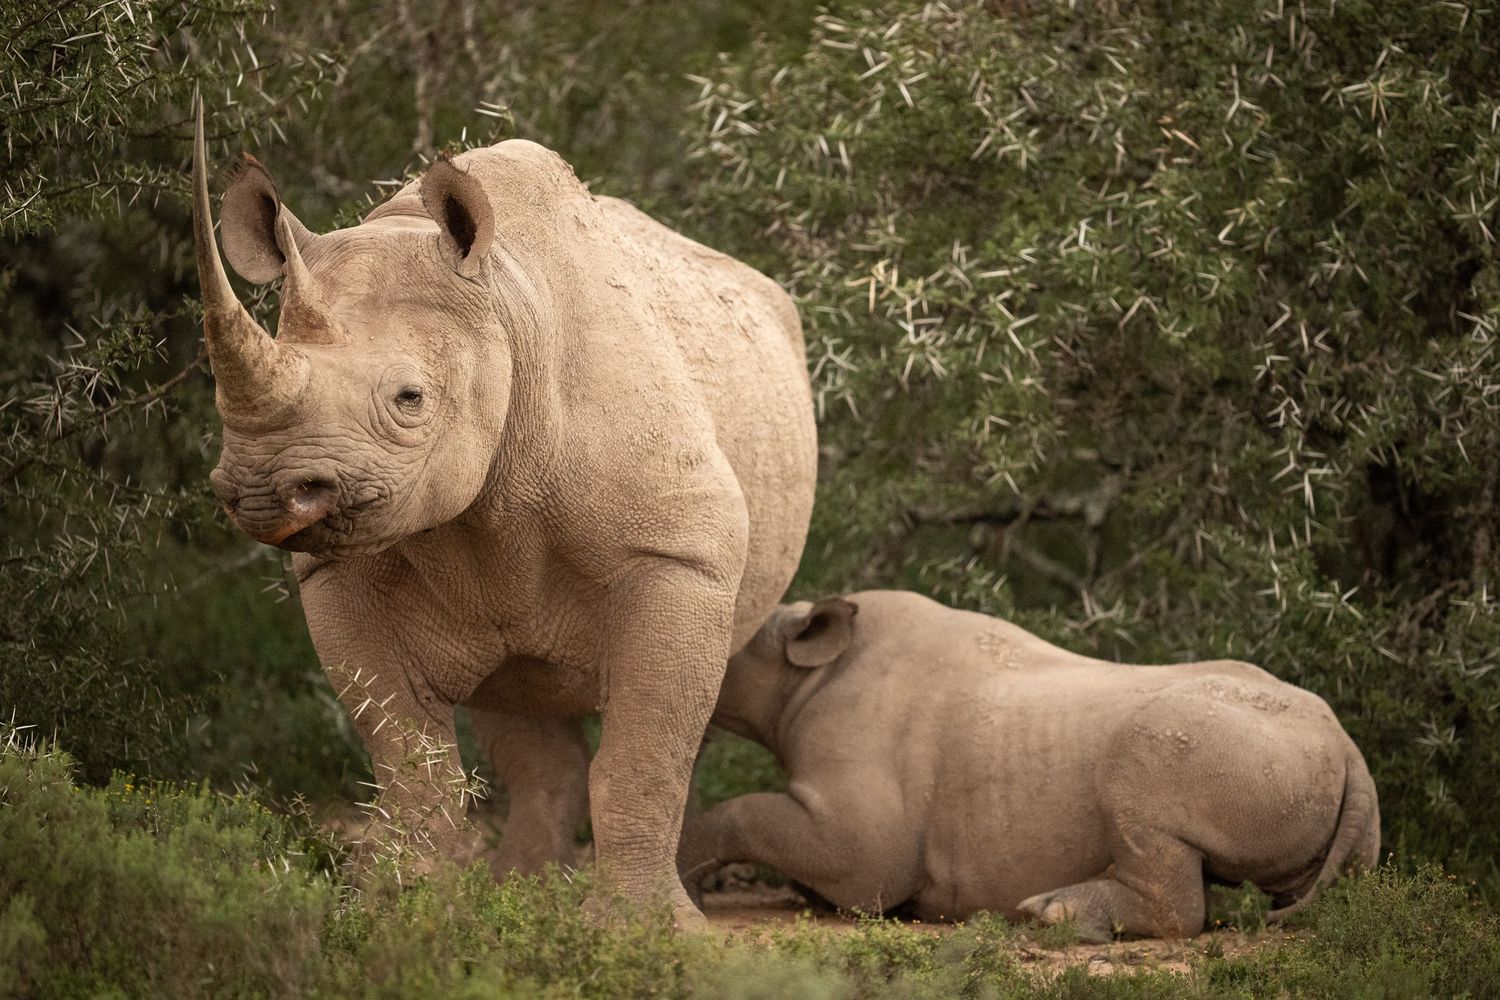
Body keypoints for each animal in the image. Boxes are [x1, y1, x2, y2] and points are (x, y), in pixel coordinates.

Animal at [189, 103, 817, 926]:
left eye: (410, 399)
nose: (264, 492)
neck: (503, 311)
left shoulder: (680, 554)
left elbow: (644, 755)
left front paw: (646, 932)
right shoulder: (335, 570)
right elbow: (407, 758)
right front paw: (407, 911)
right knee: (522, 702)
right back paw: (521, 893)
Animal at [680, 590, 1380, 940]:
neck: (799, 673)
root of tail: (1348, 747)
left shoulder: (863, 841)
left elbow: (758, 819)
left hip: (1216, 740)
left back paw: (1050, 915)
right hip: (1299, 763)